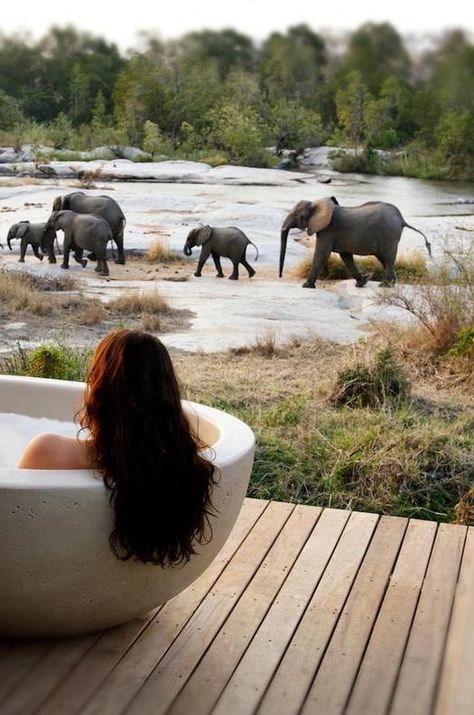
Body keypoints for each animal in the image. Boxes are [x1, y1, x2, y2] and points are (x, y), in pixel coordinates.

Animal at [280, 199, 432, 288]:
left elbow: (322, 253)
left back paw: (385, 285)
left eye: (295, 215)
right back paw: (392, 283)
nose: (280, 276)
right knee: (384, 258)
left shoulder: (328, 230)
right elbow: (346, 256)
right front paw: (362, 283)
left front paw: (306, 286)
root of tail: (401, 219)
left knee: (388, 256)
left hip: (388, 234)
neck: (317, 203)